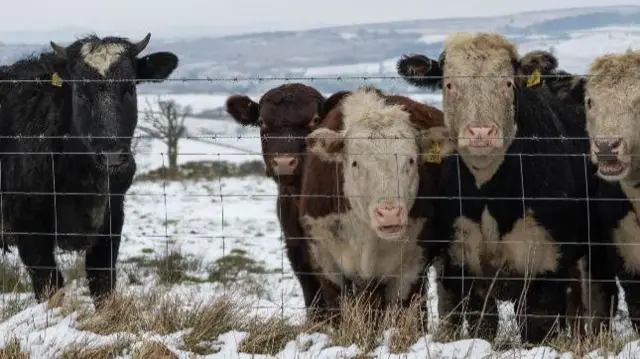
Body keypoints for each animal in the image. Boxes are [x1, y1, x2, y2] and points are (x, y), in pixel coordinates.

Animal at [0, 33, 178, 308]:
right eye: (81, 93)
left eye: (129, 88)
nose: (112, 154)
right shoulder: (28, 228)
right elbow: (49, 285)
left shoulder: (112, 217)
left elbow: (102, 283)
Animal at [398, 33, 596, 346]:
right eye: (450, 84)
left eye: (507, 83)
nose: (480, 132)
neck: (491, 196)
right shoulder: (463, 264)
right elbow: (482, 325)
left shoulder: (544, 265)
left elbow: (538, 327)